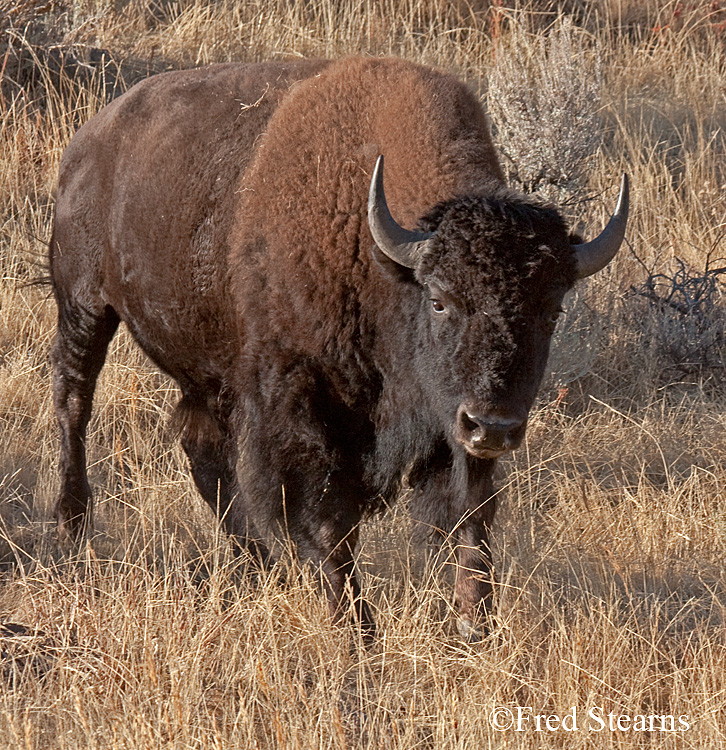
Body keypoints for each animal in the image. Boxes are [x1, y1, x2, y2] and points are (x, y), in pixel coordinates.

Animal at [52, 55, 632, 636]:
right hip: (83, 305)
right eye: (440, 301)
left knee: (203, 448)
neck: (380, 257)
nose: (493, 426)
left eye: (552, 311)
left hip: (207, 366)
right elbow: (327, 518)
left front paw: (474, 624)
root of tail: (91, 137)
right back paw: (72, 527)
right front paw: (357, 629)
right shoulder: (301, 406)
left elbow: (468, 515)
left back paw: (258, 568)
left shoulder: (447, 423)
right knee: (74, 403)